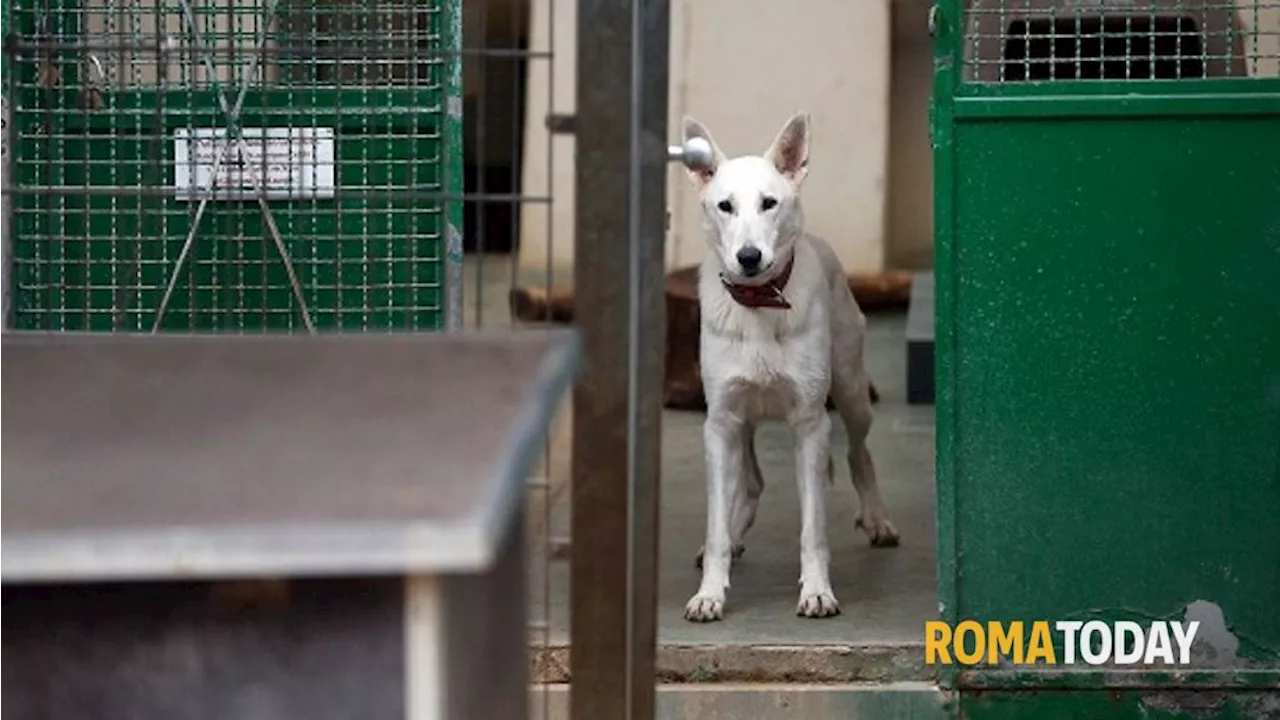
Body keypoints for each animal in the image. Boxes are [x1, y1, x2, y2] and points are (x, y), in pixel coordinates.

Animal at [680, 112, 901, 622]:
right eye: (724, 206)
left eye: (769, 203)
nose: (748, 257)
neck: (760, 301)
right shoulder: (720, 423)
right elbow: (716, 525)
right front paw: (710, 593)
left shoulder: (810, 424)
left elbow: (813, 529)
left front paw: (817, 592)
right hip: (741, 426)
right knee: (751, 484)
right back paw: (736, 534)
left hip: (852, 394)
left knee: (859, 453)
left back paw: (877, 520)